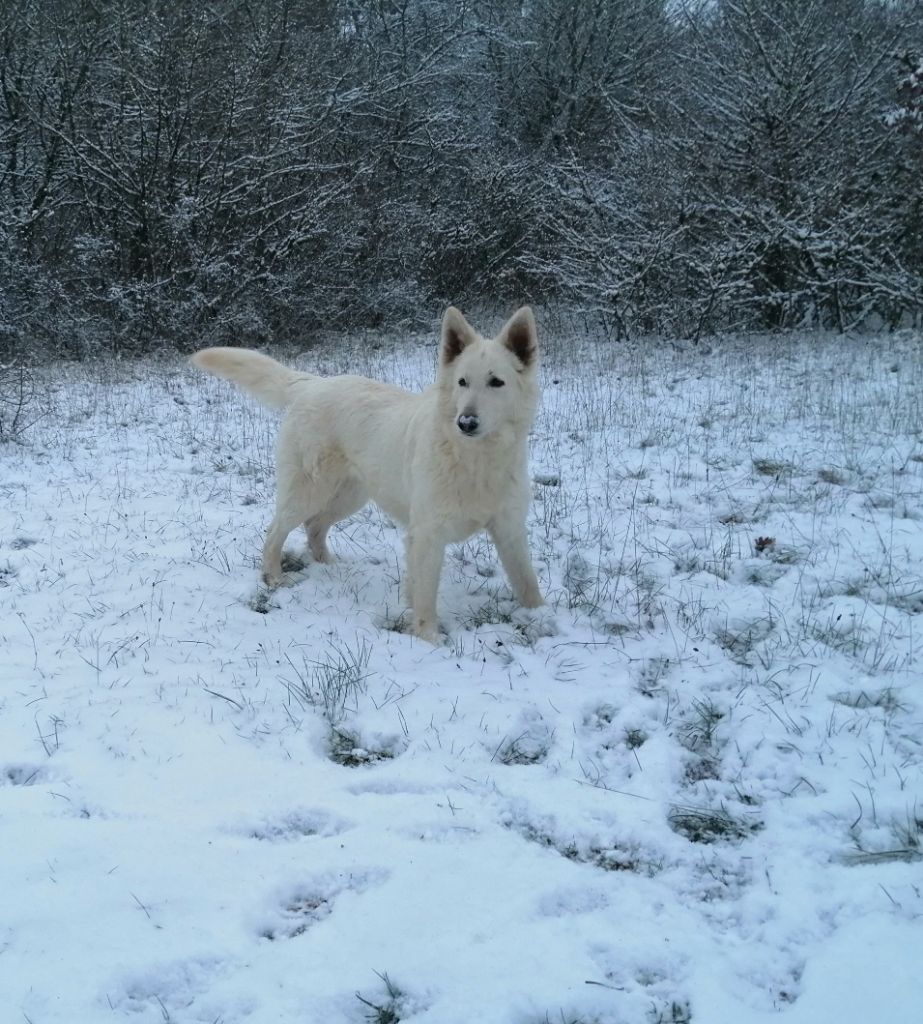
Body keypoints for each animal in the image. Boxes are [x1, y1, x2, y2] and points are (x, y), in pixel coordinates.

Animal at [190, 305, 544, 638]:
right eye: (462, 382)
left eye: (496, 382)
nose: (466, 422)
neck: (477, 460)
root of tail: (313, 384)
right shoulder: (428, 536)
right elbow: (426, 599)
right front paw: (429, 639)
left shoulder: (510, 531)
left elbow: (528, 584)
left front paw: (543, 619)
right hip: (308, 492)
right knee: (276, 530)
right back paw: (274, 577)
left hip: (351, 496)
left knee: (314, 527)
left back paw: (329, 566)